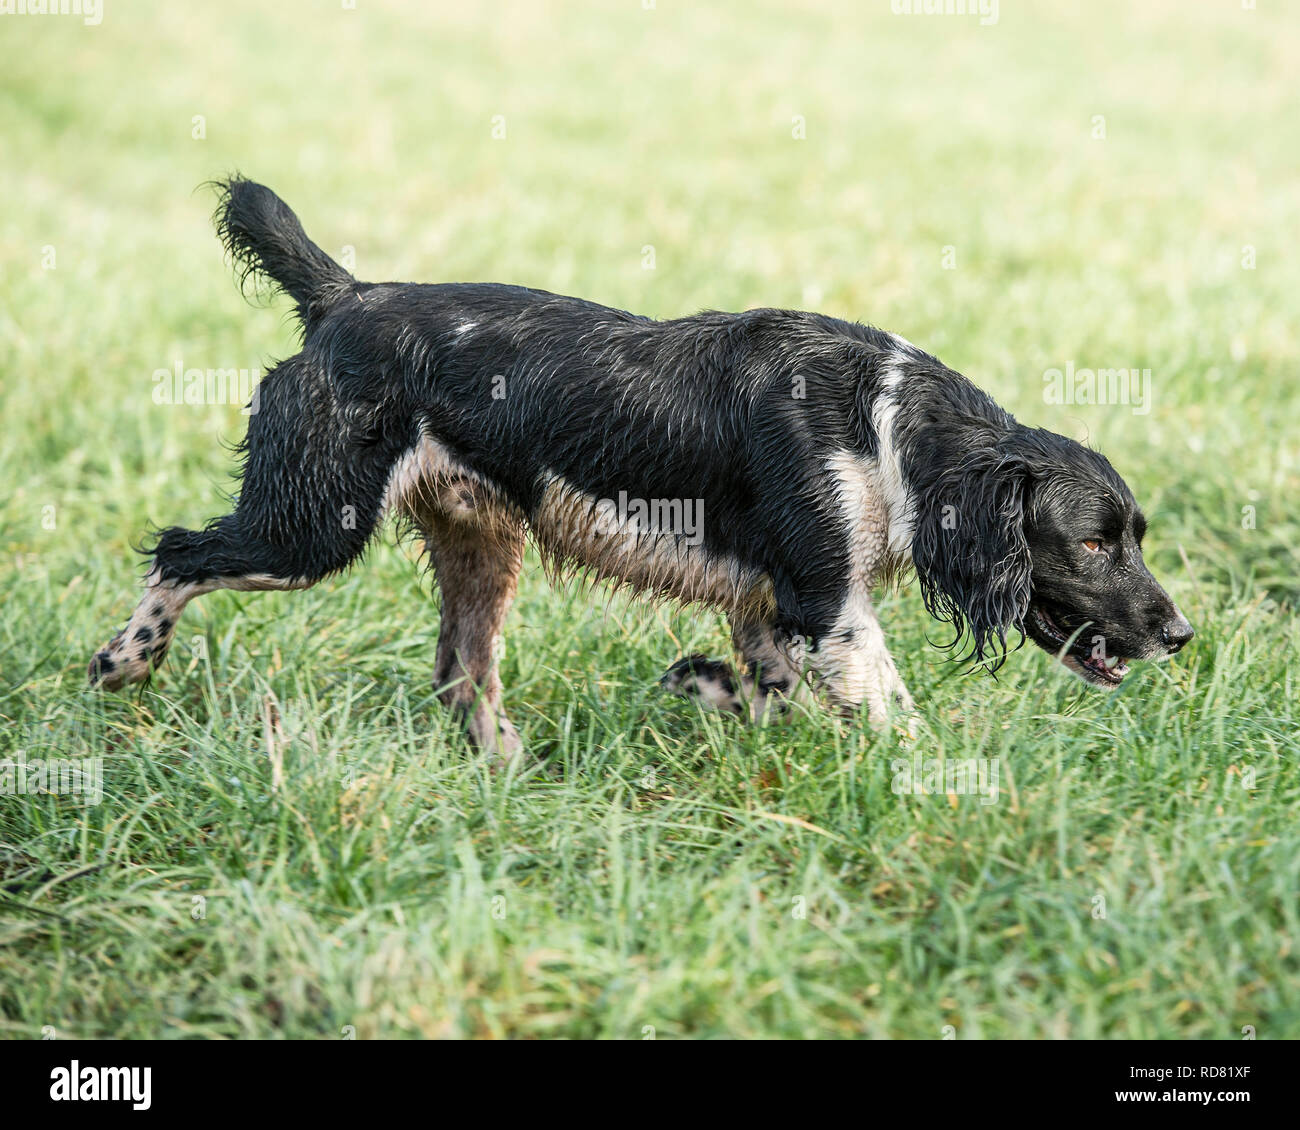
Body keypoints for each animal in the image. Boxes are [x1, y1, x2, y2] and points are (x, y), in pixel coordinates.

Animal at [86, 178, 1190, 759]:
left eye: (1133, 536)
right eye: (1094, 542)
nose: (1181, 633)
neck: (883, 423)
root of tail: (345, 297)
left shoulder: (770, 605)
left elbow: (766, 695)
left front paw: (706, 691)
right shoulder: (827, 602)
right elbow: (895, 716)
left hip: (479, 544)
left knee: (459, 673)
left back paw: (508, 770)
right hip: (310, 528)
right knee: (178, 552)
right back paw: (123, 661)